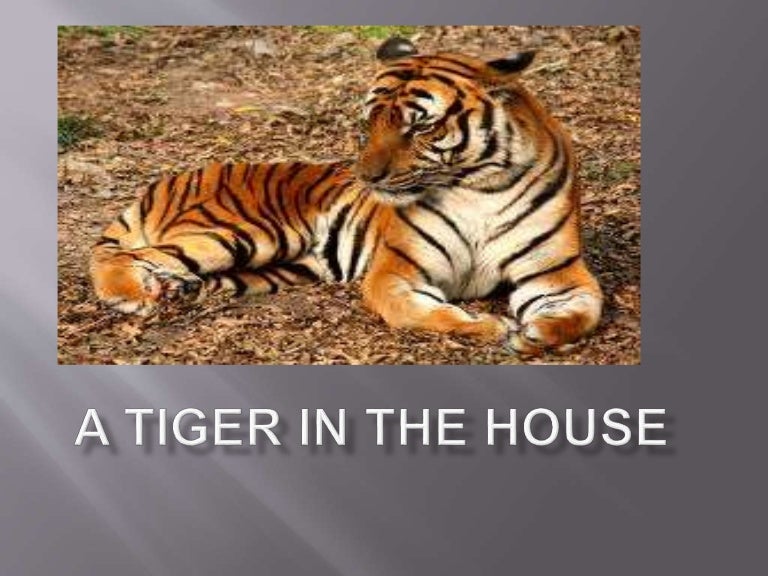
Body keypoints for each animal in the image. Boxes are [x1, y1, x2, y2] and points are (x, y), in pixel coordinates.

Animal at [90, 36, 603, 357]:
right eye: (369, 123)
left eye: (419, 127)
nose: (367, 178)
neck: (477, 186)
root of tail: (171, 179)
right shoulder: (395, 273)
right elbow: (418, 312)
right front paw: (487, 326)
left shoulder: (559, 276)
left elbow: (584, 313)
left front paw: (536, 333)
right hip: (242, 232)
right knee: (119, 256)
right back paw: (130, 295)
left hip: (279, 268)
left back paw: (176, 289)